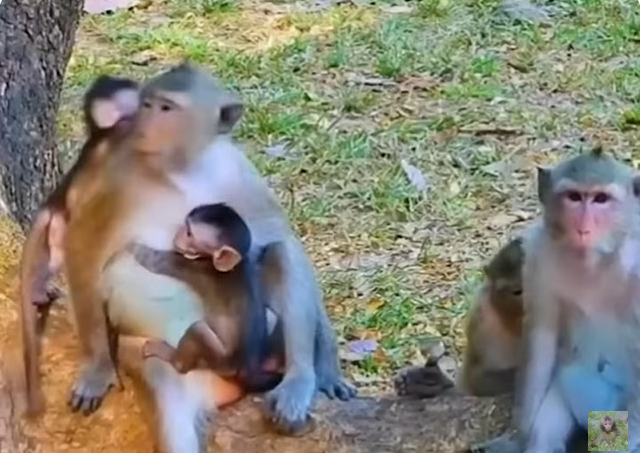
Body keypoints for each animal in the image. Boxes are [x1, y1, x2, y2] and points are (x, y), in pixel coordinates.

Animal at [130, 202, 284, 392]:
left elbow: (153, 261)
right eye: (185, 226)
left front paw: (132, 246)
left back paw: (172, 357)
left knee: (198, 330)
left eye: (189, 233)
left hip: (221, 361)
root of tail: (248, 368)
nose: (178, 232)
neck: (236, 264)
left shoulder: (193, 264)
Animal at [515, 147, 638, 453]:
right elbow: (542, 334)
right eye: (573, 197)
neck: (592, 260)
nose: (583, 227)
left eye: (601, 199)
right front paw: (523, 430)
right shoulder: (539, 254)